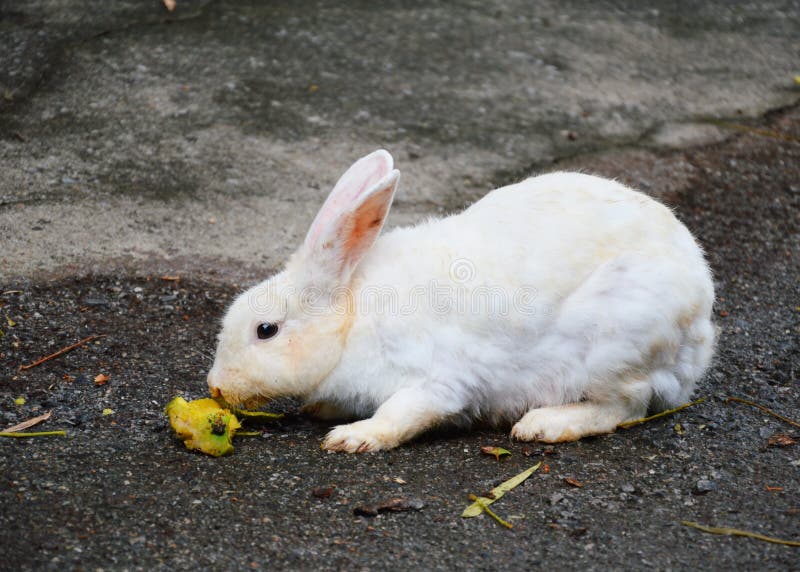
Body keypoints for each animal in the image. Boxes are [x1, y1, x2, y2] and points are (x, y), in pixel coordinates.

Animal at [207, 149, 716, 452]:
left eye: (266, 330)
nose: (215, 387)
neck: (349, 319)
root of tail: (701, 330)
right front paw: (323, 411)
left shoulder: (437, 380)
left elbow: (401, 413)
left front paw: (353, 438)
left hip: (617, 348)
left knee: (626, 406)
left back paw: (545, 425)